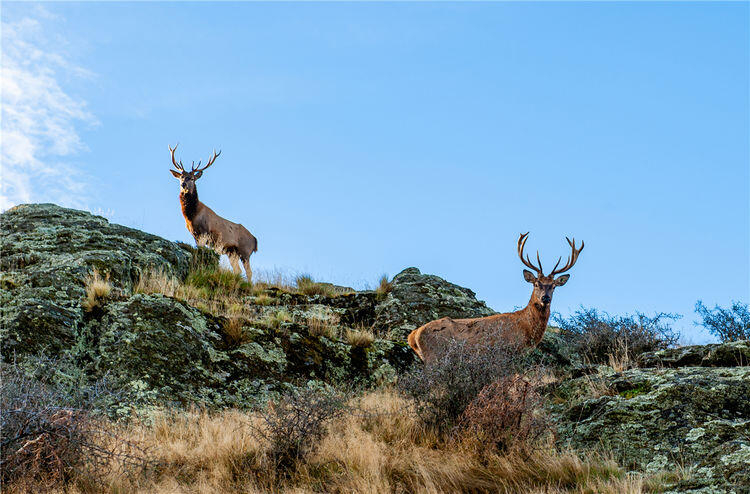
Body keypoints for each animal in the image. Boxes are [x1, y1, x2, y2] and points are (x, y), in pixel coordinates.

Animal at [169, 144, 257, 281]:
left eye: (192, 178)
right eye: (181, 177)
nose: (183, 184)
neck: (192, 216)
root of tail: (255, 240)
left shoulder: (204, 231)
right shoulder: (195, 234)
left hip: (245, 251)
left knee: (249, 272)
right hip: (232, 252)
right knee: (237, 270)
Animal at [407, 233, 584, 362]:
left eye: (553, 286)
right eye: (536, 284)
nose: (545, 298)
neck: (525, 328)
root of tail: (413, 336)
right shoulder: (508, 351)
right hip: (434, 357)